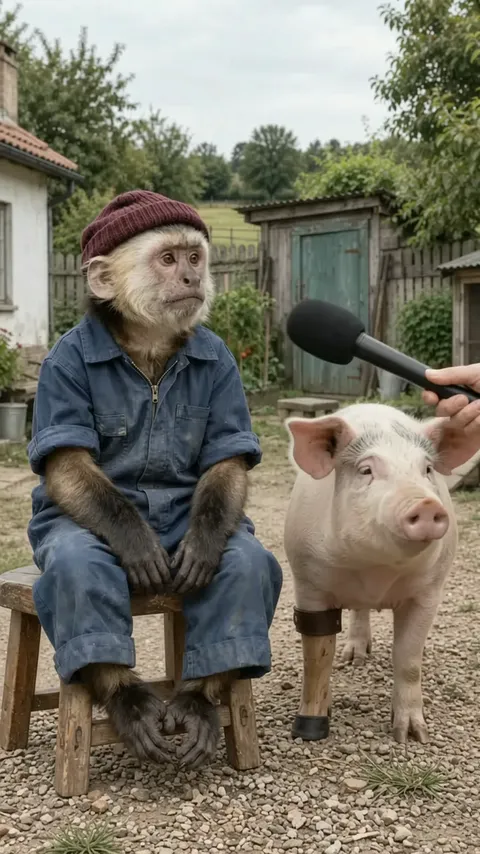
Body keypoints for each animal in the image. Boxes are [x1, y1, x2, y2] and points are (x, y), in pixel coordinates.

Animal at [283, 402, 477, 744]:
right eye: (366, 470)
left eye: (427, 469)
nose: (425, 504)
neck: (375, 571)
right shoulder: (308, 582)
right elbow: (317, 659)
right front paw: (312, 726)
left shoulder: (429, 591)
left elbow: (409, 659)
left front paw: (411, 736)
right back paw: (354, 658)